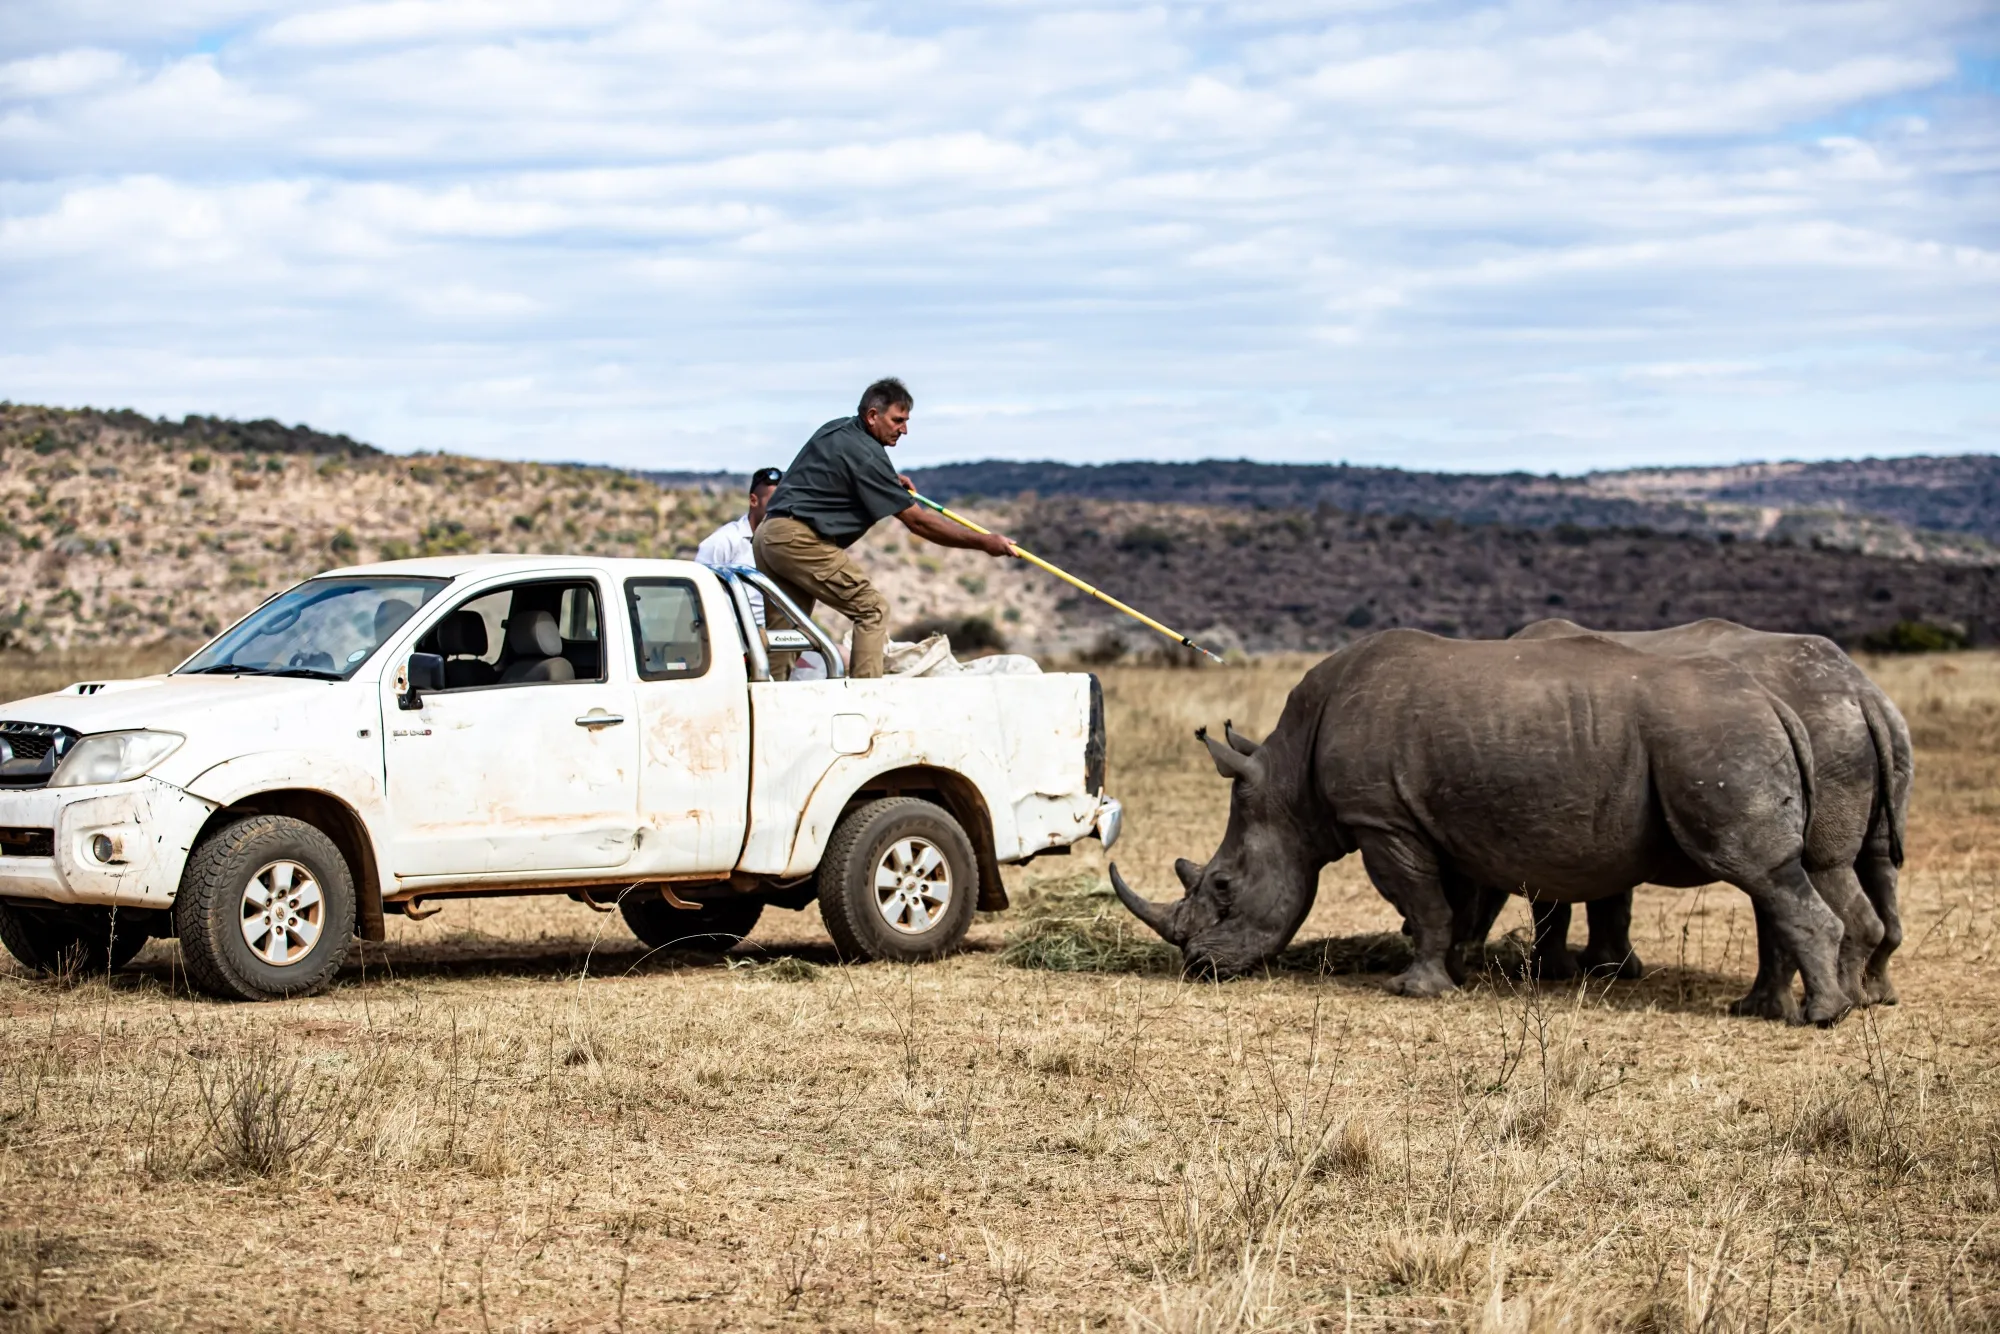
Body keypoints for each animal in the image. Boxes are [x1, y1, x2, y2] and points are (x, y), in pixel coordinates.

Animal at [1111, 628, 1855, 1026]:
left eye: (1223, 887)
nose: (1200, 967)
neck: (1290, 780)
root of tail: (1776, 703)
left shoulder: (1383, 819)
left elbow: (1422, 901)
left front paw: (1413, 989)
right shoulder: (1435, 817)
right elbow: (1453, 904)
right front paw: (1454, 973)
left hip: (1716, 740)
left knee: (1759, 873)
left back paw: (1821, 1017)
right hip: (1726, 737)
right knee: (1769, 881)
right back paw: (1766, 1009)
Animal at [1469, 618, 1911, 1019]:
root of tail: (1863, 694)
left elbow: (1553, 893)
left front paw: (1558, 973)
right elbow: (1610, 892)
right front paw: (1610, 969)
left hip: (1821, 738)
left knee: (1815, 868)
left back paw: (1824, 1004)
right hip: (1872, 736)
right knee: (1875, 863)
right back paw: (1873, 998)